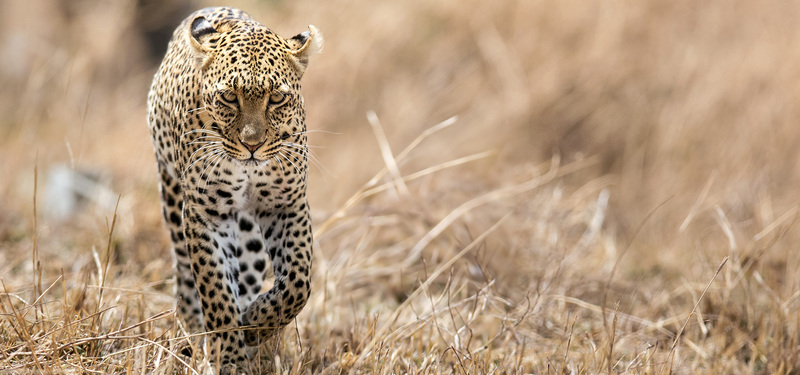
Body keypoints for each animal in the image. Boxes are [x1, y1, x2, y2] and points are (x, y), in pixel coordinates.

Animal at [147, 6, 322, 374]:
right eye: (229, 97)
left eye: (277, 98)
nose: (252, 145)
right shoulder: (205, 214)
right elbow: (215, 288)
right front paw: (227, 355)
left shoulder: (287, 204)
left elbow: (297, 282)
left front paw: (254, 323)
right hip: (172, 199)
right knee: (186, 276)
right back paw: (192, 335)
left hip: (250, 235)